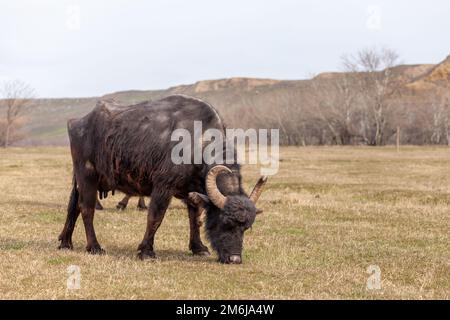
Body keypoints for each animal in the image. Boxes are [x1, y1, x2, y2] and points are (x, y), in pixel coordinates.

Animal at [57, 94, 266, 262]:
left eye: (246, 228)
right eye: (225, 222)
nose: (235, 259)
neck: (197, 142)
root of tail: (78, 122)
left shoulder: (192, 191)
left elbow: (195, 219)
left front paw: (198, 247)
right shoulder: (163, 187)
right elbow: (155, 217)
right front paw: (146, 251)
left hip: (82, 180)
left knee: (73, 206)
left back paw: (65, 242)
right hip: (87, 176)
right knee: (86, 209)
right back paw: (94, 246)